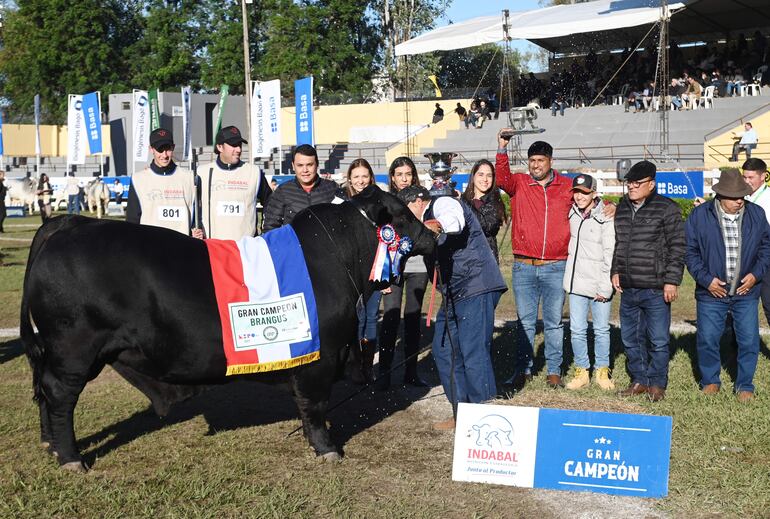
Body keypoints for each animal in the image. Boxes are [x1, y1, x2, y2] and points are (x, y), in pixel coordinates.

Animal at [21, 187, 436, 472]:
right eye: (402, 214)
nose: (433, 234)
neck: (339, 258)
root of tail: (70, 223)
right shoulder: (320, 358)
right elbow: (314, 407)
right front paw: (327, 449)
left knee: (44, 389)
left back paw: (49, 444)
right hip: (75, 347)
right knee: (58, 393)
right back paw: (70, 457)